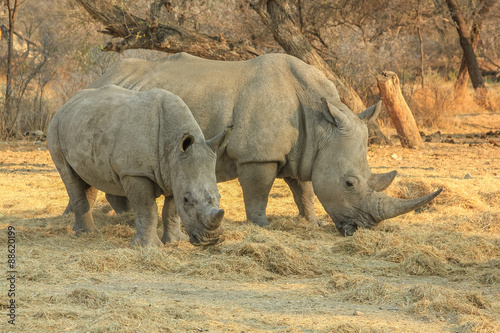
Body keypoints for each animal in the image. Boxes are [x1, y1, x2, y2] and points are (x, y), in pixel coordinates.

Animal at [47, 84, 228, 245]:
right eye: (187, 200)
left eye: (219, 197)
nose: (211, 239)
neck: (174, 148)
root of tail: (66, 104)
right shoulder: (135, 171)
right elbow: (147, 209)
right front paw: (148, 246)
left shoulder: (174, 172)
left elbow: (171, 210)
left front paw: (176, 241)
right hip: (55, 126)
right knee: (69, 177)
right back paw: (86, 234)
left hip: (84, 125)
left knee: (88, 178)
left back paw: (83, 231)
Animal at [87, 52, 442, 236]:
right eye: (350, 183)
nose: (364, 228)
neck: (322, 123)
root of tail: (102, 76)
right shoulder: (257, 156)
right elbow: (259, 192)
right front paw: (261, 226)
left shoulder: (306, 151)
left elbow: (305, 190)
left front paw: (311, 222)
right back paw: (122, 217)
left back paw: (121, 215)